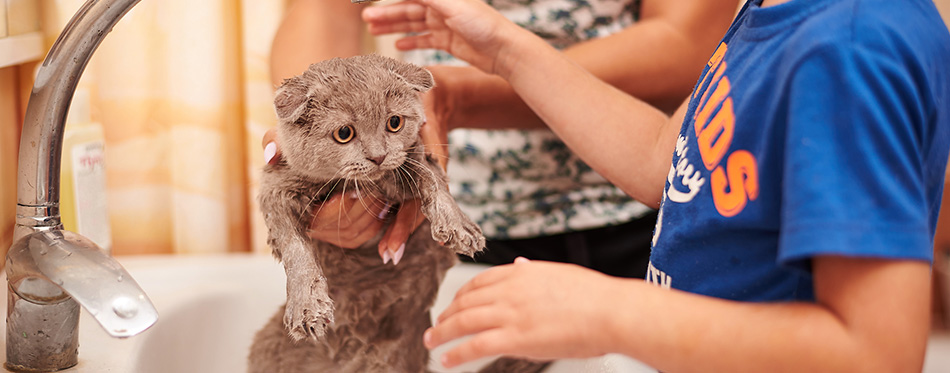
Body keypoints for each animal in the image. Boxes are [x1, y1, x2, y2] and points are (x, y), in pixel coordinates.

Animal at [249, 56, 548, 372]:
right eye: (344, 133)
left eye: (395, 123)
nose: (378, 156)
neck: (348, 184)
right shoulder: (276, 186)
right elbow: (295, 247)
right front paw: (307, 306)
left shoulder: (407, 161)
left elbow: (430, 177)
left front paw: (458, 225)